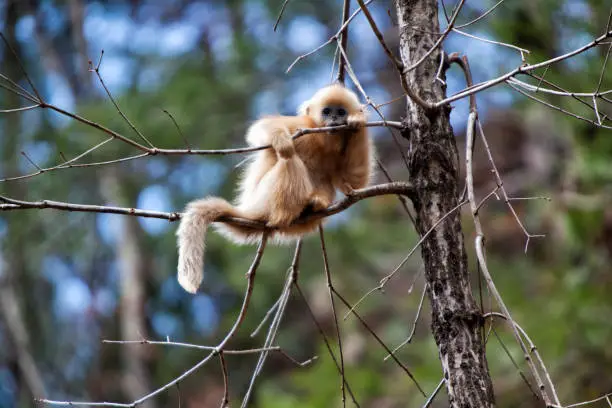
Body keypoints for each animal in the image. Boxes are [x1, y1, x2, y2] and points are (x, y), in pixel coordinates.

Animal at [175, 83, 370, 294]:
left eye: (341, 112)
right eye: (327, 111)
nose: (334, 119)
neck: (322, 141)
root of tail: (250, 210)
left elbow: (355, 181)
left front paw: (358, 122)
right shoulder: (303, 126)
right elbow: (263, 127)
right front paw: (281, 140)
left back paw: (314, 205)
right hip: (265, 199)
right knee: (289, 158)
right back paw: (284, 213)